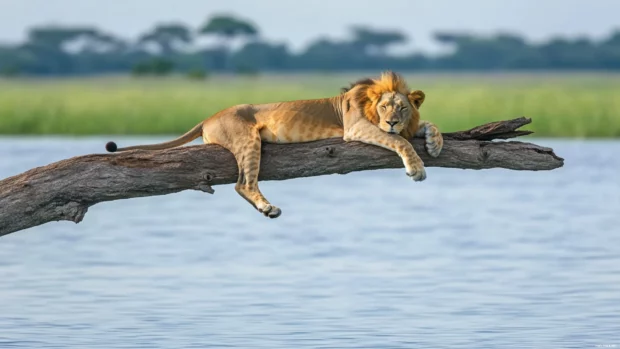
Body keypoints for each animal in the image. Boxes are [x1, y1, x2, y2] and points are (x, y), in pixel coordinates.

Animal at [104, 70, 444, 218]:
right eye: (385, 107)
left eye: (402, 108)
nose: (392, 121)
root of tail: (209, 117)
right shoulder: (357, 127)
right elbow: (399, 142)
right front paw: (417, 169)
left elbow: (430, 124)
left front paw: (435, 143)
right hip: (248, 139)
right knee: (243, 183)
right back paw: (268, 207)